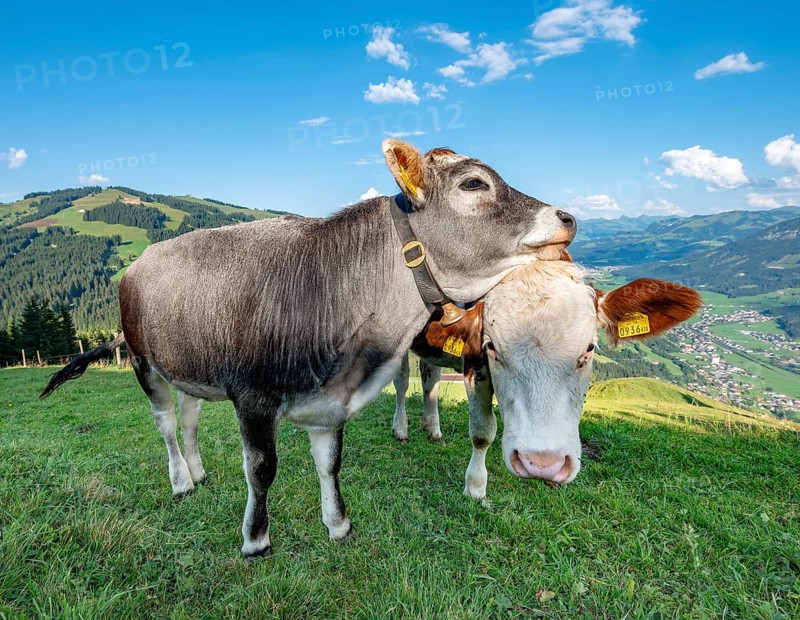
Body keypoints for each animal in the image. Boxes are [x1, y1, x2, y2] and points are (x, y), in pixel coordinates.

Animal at [40, 140, 578, 558]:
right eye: (473, 185)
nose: (568, 217)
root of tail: (141, 262)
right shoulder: (253, 397)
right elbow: (261, 469)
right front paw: (256, 540)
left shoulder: (331, 402)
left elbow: (330, 462)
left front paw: (338, 525)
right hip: (143, 361)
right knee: (167, 423)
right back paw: (180, 481)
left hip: (191, 366)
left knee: (189, 418)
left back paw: (198, 472)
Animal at [394, 258, 701, 498]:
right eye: (491, 347)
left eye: (589, 348)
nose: (541, 464)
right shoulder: (473, 363)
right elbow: (482, 432)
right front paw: (475, 489)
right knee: (402, 382)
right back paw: (401, 429)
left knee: (430, 378)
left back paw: (433, 429)